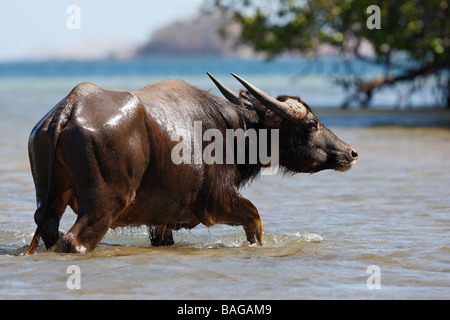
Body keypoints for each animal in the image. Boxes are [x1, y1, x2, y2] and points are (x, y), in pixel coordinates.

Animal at [25, 72, 358, 255]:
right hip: (104, 204)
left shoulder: (160, 221)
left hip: (50, 198)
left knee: (50, 228)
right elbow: (256, 222)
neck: (231, 131)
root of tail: (71, 106)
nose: (351, 153)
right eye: (312, 124)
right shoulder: (218, 202)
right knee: (74, 240)